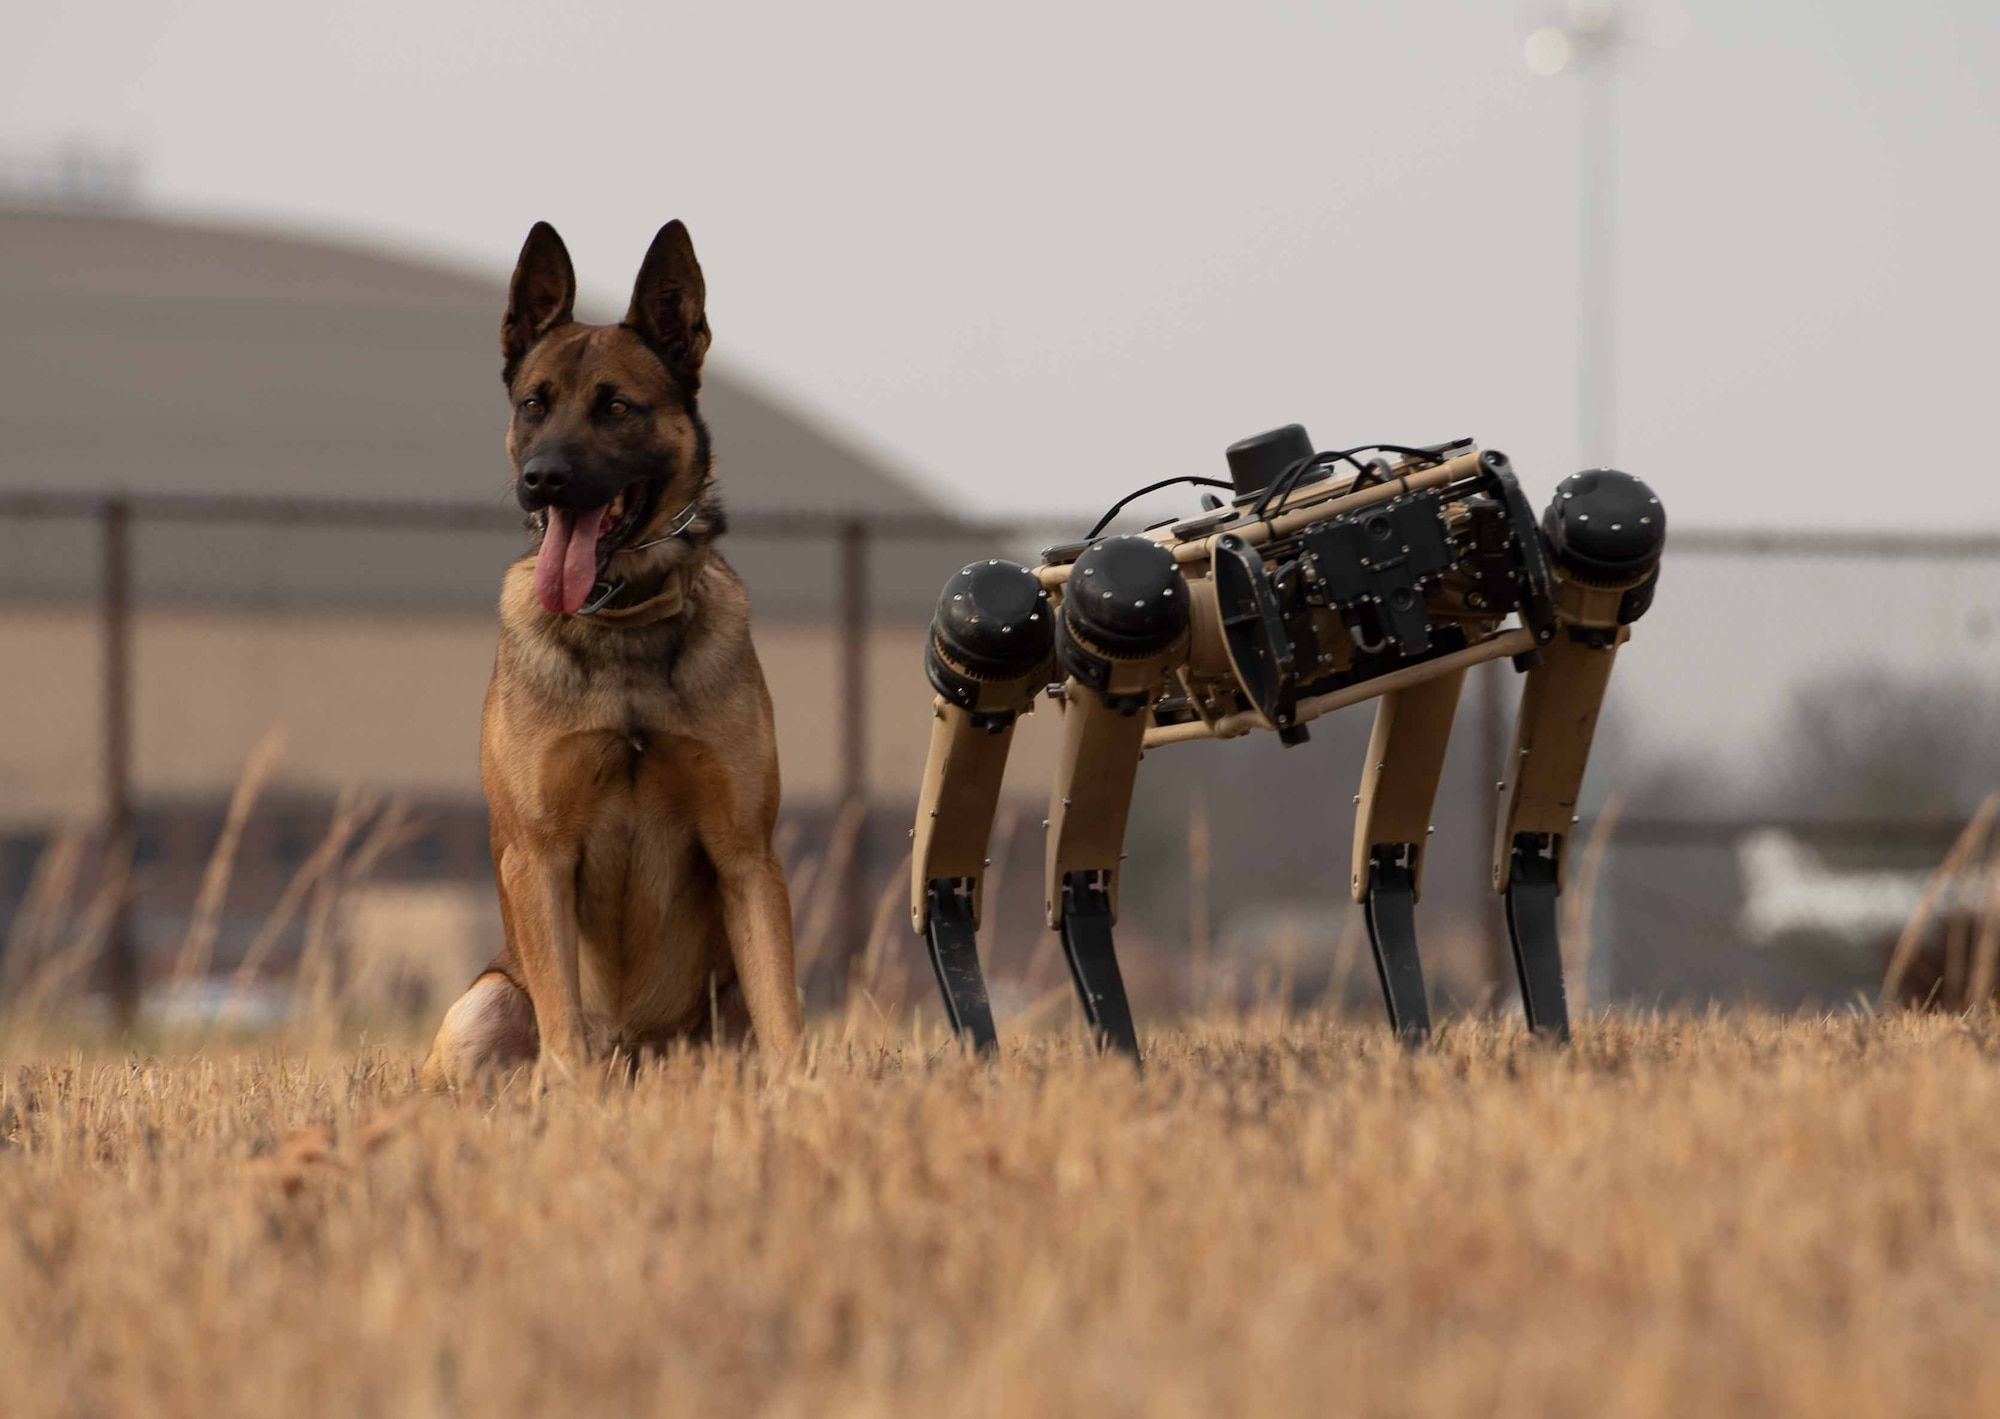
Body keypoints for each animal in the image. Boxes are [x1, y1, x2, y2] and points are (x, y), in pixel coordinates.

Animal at [422, 221, 804, 1087]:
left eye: (617, 407)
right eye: (534, 404)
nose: (543, 481)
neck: (623, 619)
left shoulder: (746, 856)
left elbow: (784, 1019)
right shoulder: (539, 856)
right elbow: (565, 1028)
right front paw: (579, 1106)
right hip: (484, 1003)